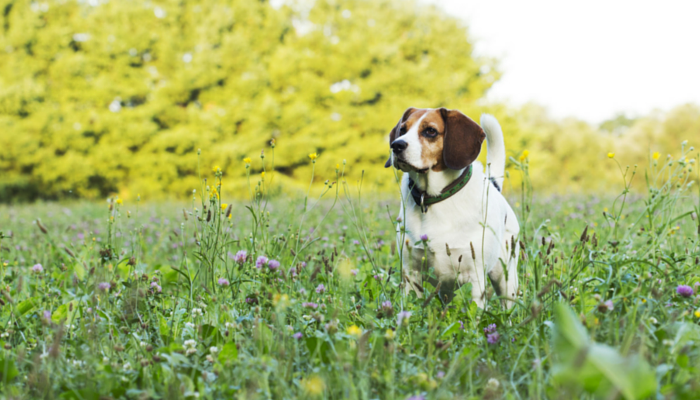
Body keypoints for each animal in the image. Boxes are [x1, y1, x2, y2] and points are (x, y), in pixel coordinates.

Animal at [388, 107, 520, 310]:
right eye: (403, 129)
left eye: (430, 131)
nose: (396, 145)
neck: (434, 199)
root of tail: (494, 185)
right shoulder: (411, 273)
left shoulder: (476, 277)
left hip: (506, 277)